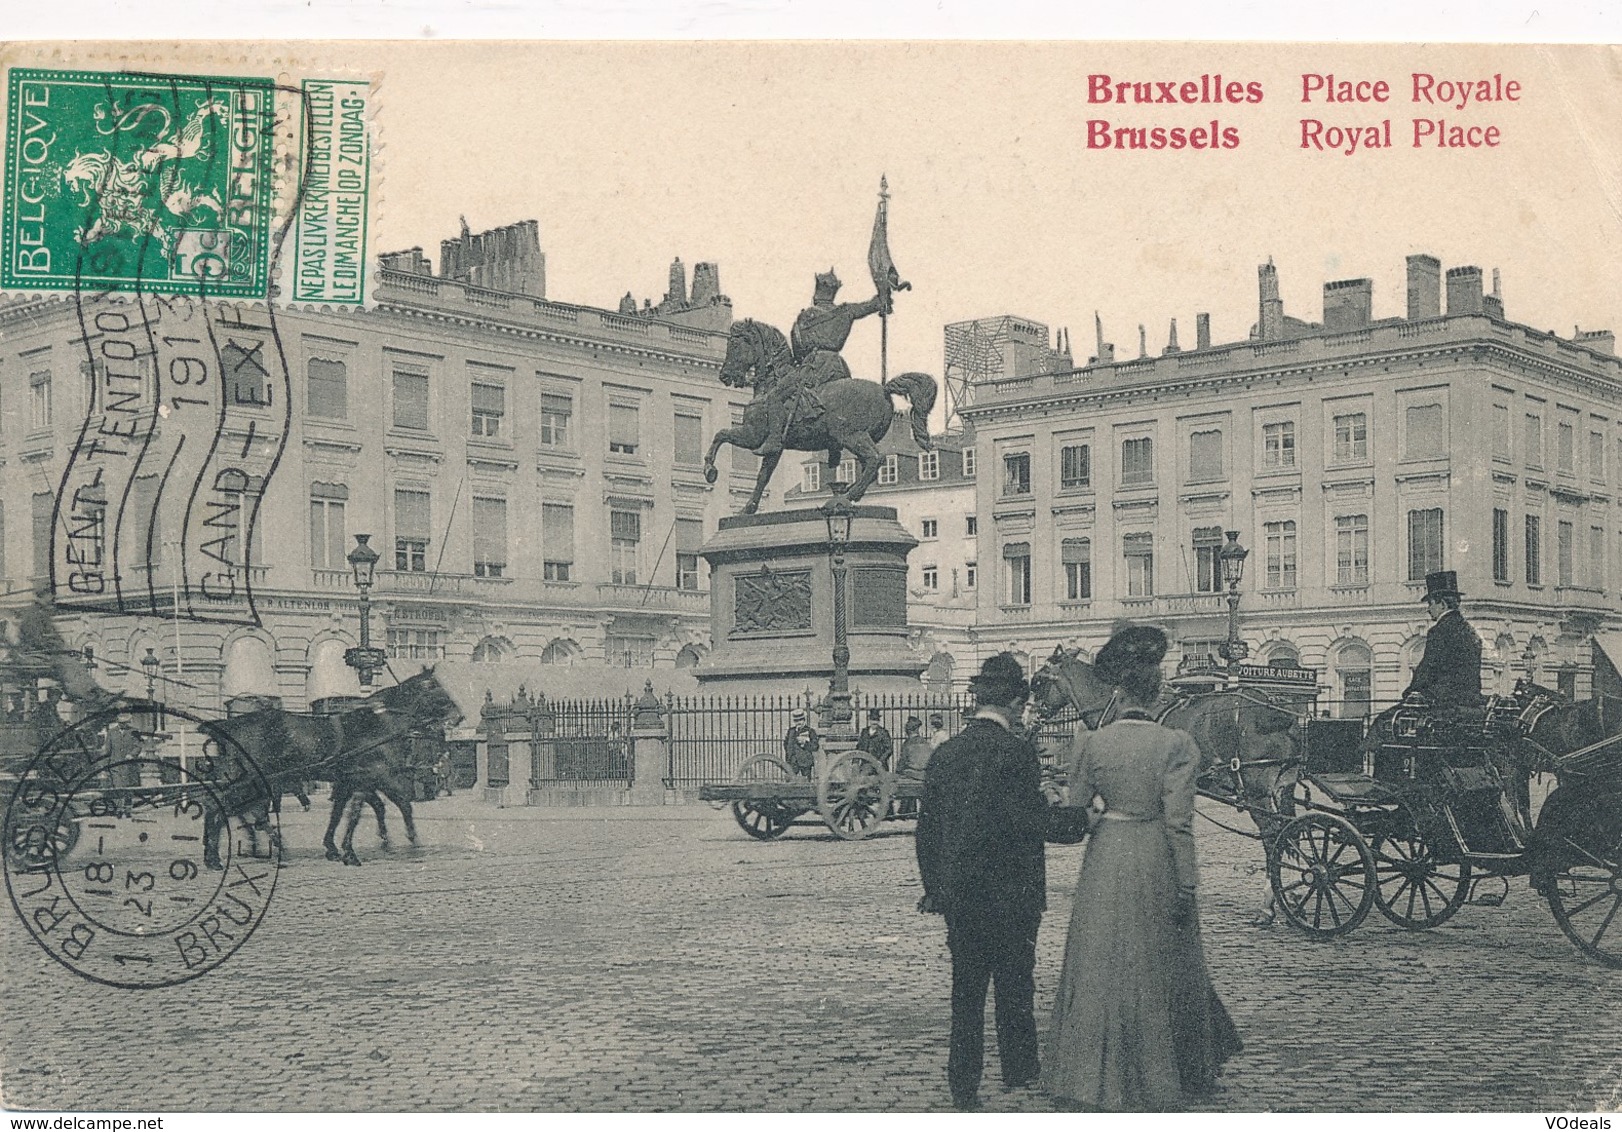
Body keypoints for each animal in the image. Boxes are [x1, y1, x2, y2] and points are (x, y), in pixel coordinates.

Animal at [199, 664, 463, 869]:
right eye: (435, 687)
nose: (458, 717)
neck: (376, 724)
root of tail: (228, 725)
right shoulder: (374, 776)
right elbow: (366, 812)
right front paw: (353, 851)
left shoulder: (350, 780)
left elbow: (340, 814)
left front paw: (334, 848)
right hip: (253, 780)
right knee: (225, 807)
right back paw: (229, 854)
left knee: (226, 807)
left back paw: (216, 855)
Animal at [697, 317, 940, 512]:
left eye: (735, 344)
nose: (725, 375)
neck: (771, 383)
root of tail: (884, 390)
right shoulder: (774, 448)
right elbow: (763, 476)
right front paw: (748, 508)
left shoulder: (753, 435)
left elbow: (720, 434)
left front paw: (710, 469)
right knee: (870, 465)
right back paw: (851, 493)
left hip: (852, 435)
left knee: (876, 459)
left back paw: (847, 496)